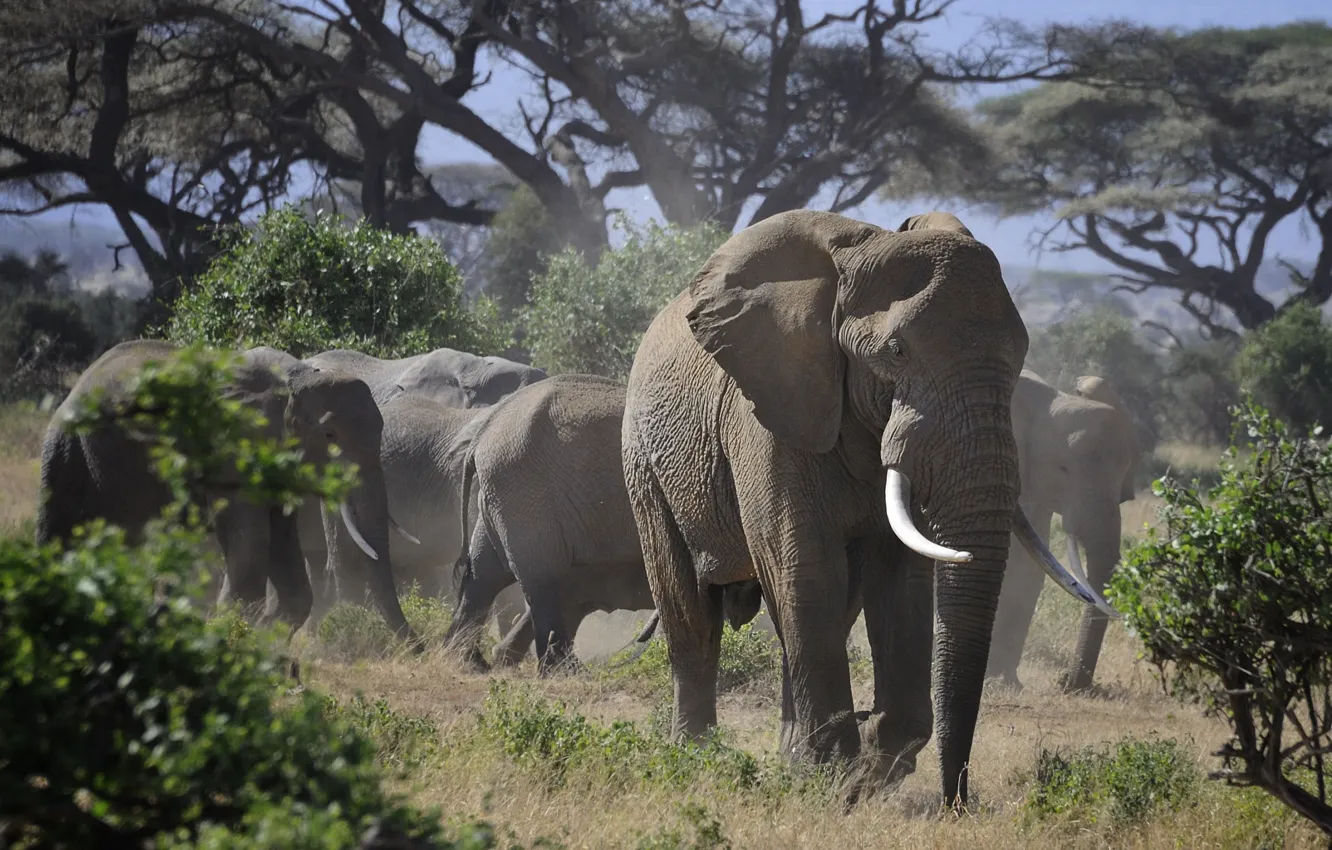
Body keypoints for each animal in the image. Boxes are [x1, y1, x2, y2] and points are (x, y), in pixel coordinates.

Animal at [36, 341, 416, 643]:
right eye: (330, 435)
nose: (421, 648)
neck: (298, 379)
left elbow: (285, 559)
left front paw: (262, 642)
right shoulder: (232, 448)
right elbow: (250, 550)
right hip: (68, 447)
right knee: (57, 533)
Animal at [619, 209, 1115, 808]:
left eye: (1020, 357)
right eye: (896, 352)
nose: (957, 802)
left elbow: (899, 577)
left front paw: (861, 773)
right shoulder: (769, 415)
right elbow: (804, 566)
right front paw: (838, 774)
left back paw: (792, 761)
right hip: (644, 460)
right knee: (690, 609)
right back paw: (697, 757)